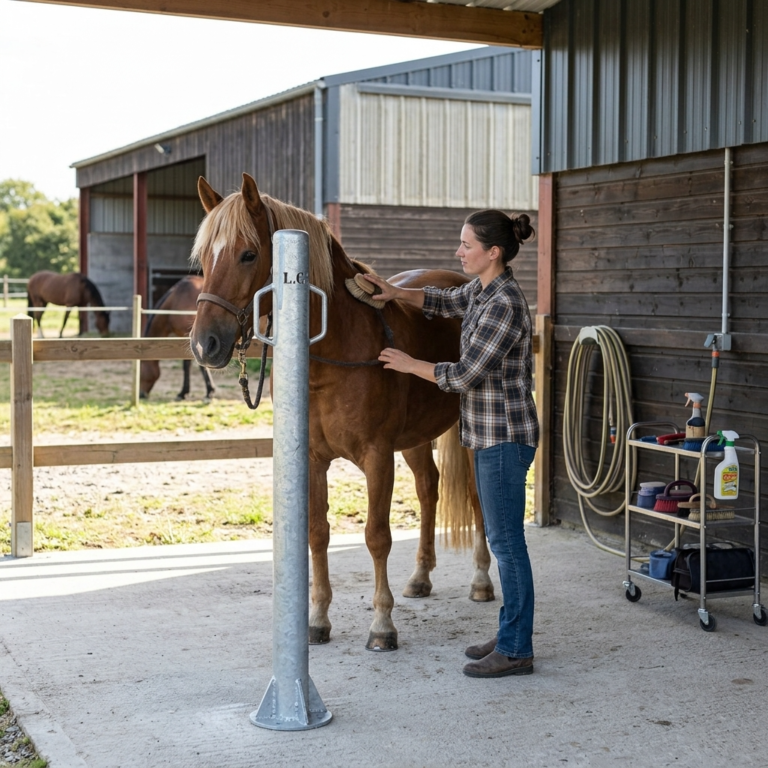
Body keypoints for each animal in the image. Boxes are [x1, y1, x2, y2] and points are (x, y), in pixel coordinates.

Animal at [189, 173, 493, 652]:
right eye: (203, 258)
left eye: (248, 254)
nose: (205, 345)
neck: (334, 356)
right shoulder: (313, 459)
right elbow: (318, 533)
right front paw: (316, 620)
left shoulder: (377, 456)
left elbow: (376, 536)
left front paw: (382, 625)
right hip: (417, 437)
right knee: (429, 488)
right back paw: (420, 577)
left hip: (470, 432)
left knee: (479, 500)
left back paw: (481, 581)